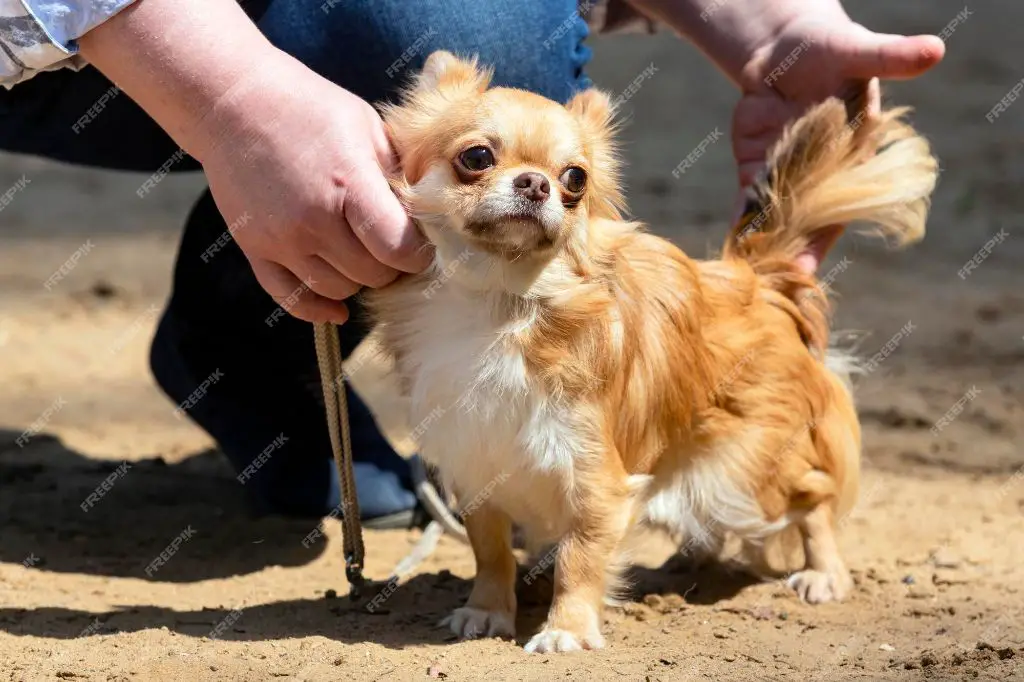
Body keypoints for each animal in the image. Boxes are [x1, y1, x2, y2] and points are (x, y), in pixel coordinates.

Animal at [368, 50, 937, 651]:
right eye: (476, 157)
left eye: (574, 179)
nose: (536, 183)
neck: (501, 303)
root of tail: (753, 278)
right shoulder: (478, 468)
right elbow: (490, 552)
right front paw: (487, 611)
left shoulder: (595, 476)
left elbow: (580, 558)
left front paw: (566, 630)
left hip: (745, 477)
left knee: (815, 496)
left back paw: (823, 573)